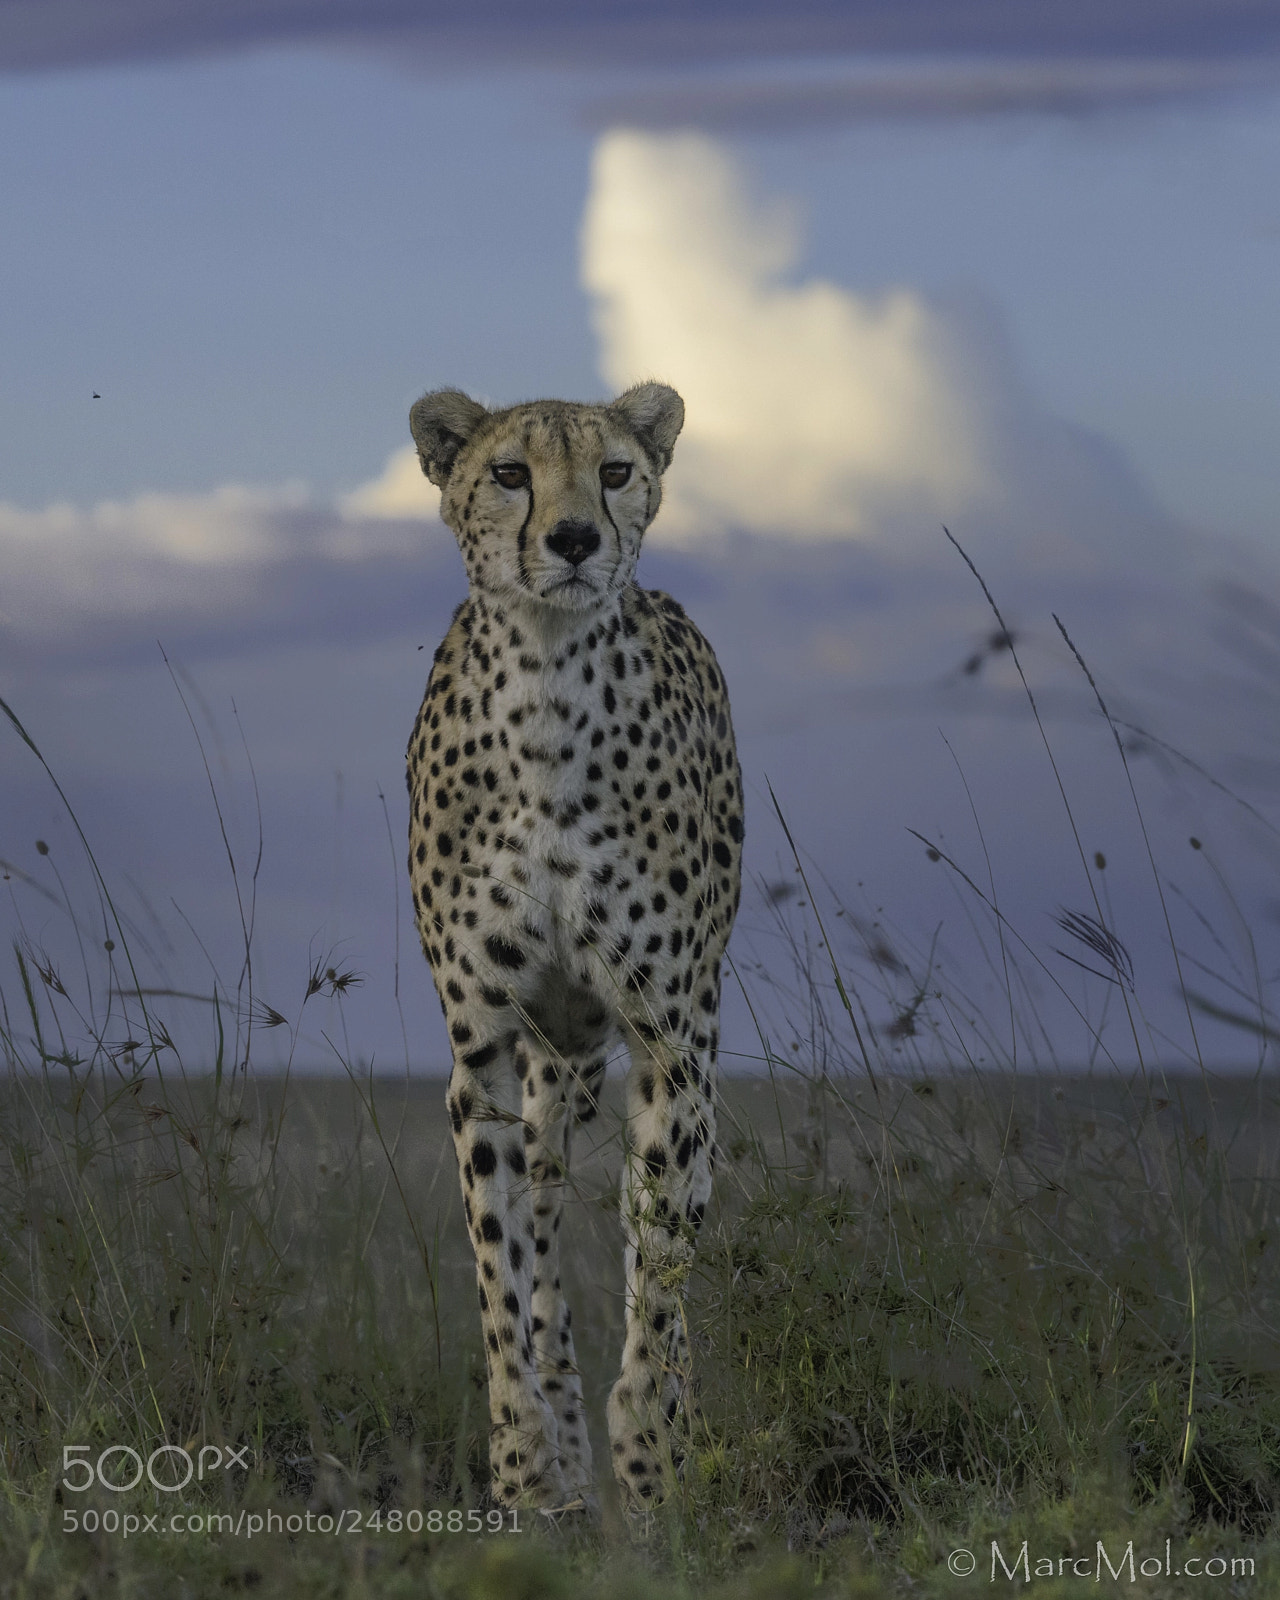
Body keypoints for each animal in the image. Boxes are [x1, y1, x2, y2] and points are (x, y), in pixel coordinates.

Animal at [405, 381, 743, 1515]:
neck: (549, 689)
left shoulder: (667, 1039)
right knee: (545, 1207)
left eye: (614, 471)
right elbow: (502, 1266)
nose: (573, 539)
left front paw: (654, 1458)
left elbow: (661, 1263)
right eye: (510, 473)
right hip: (551, 1057)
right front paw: (525, 1460)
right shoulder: (482, 1050)